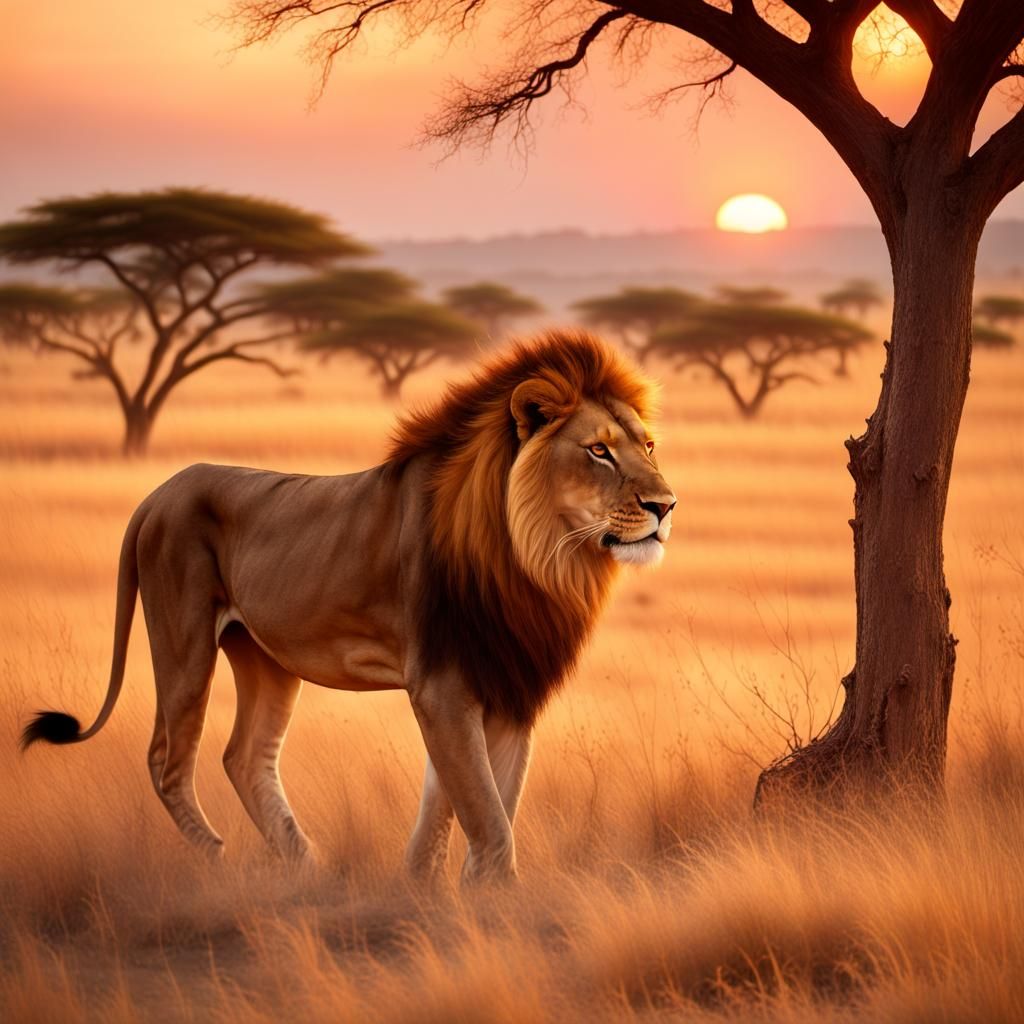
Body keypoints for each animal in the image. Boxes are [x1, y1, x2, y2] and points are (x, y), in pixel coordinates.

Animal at [22, 330, 676, 883]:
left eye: (646, 445)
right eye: (598, 451)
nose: (666, 505)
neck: (535, 559)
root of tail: (157, 493)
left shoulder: (507, 687)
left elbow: (461, 799)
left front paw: (426, 888)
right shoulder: (442, 683)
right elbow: (487, 816)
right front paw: (495, 905)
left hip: (264, 658)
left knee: (244, 757)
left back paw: (306, 869)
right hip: (182, 640)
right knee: (168, 759)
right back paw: (219, 858)